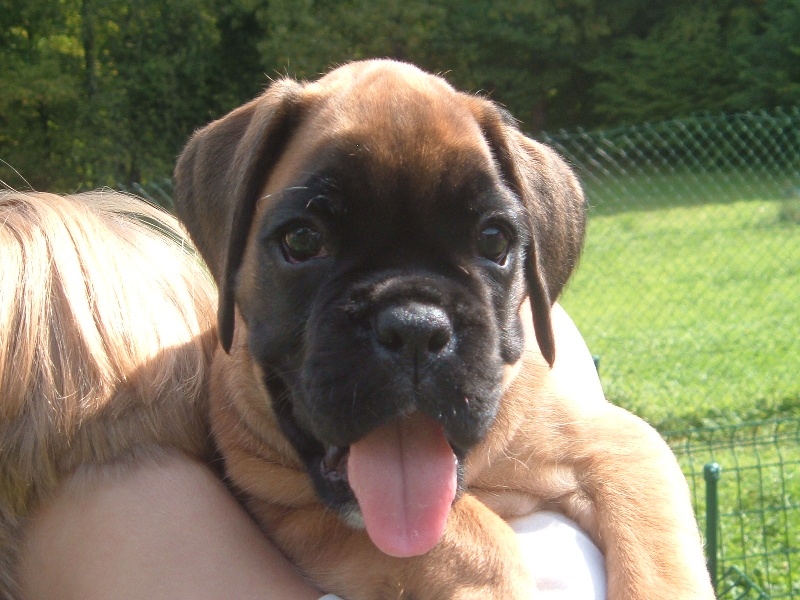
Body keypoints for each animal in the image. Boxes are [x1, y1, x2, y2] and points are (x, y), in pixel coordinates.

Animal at [174, 60, 714, 599]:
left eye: (494, 240)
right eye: (303, 240)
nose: (415, 327)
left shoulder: (621, 450)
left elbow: (659, 570)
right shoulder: (292, 507)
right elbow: (477, 540)